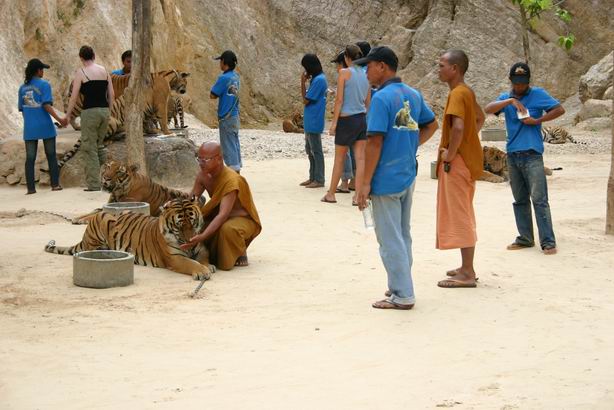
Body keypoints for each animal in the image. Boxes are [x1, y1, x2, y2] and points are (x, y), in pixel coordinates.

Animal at [45, 198, 214, 281]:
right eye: (179, 226)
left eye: (193, 222)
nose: (190, 241)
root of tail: (84, 238)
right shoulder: (174, 258)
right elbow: (190, 263)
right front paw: (202, 271)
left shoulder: (202, 248)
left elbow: (203, 258)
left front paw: (208, 266)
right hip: (103, 217)